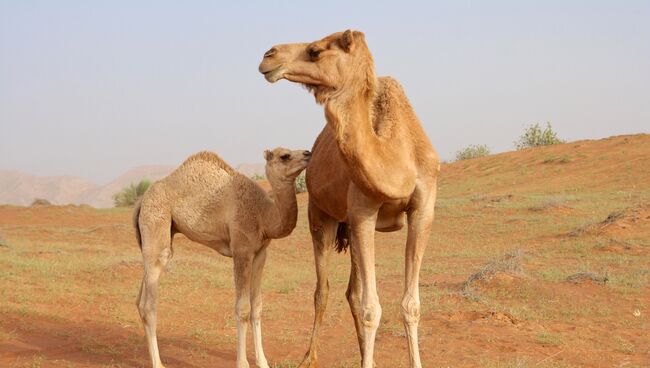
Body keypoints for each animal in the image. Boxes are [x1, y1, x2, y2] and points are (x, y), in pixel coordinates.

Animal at [133, 147, 310, 368]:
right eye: (284, 156)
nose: (308, 153)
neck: (264, 215)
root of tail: (141, 201)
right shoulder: (241, 250)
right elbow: (243, 309)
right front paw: (242, 363)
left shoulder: (260, 254)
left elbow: (257, 307)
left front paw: (263, 362)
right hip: (156, 222)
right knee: (149, 303)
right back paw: (158, 364)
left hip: (155, 238)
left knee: (140, 299)